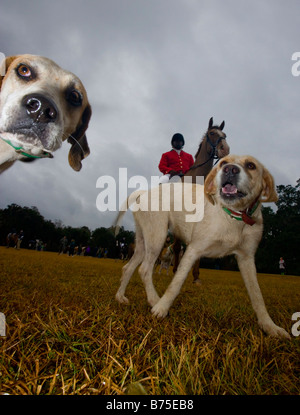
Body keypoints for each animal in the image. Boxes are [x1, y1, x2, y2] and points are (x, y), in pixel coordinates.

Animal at [171, 118, 230, 282]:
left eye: (225, 135)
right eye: (212, 133)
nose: (225, 150)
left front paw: (196, 276)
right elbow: (177, 246)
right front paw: (176, 271)